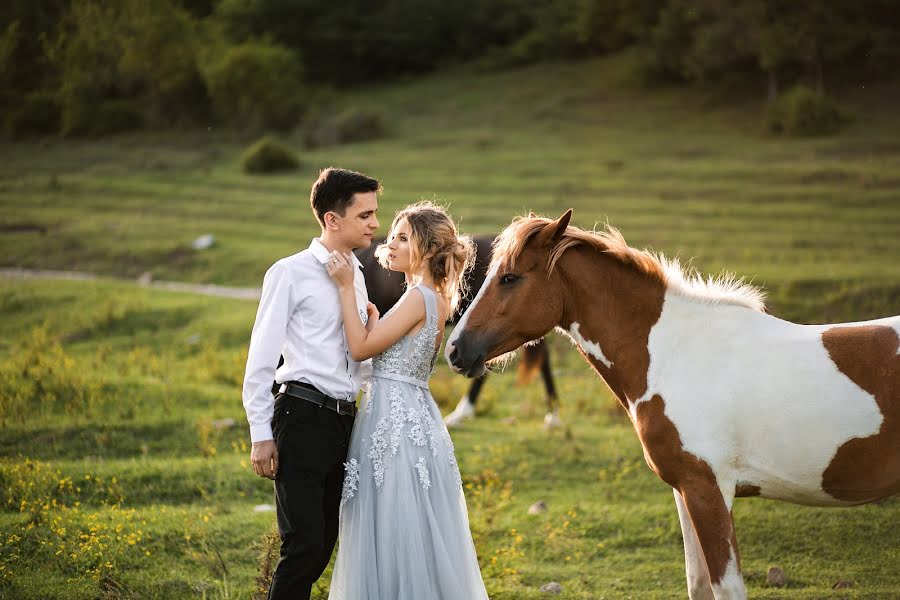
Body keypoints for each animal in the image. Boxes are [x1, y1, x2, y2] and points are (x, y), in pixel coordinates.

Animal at [446, 209, 896, 596]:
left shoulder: (709, 490)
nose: (455, 349)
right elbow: (698, 584)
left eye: (509, 278)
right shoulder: (686, 491)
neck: (676, 352)